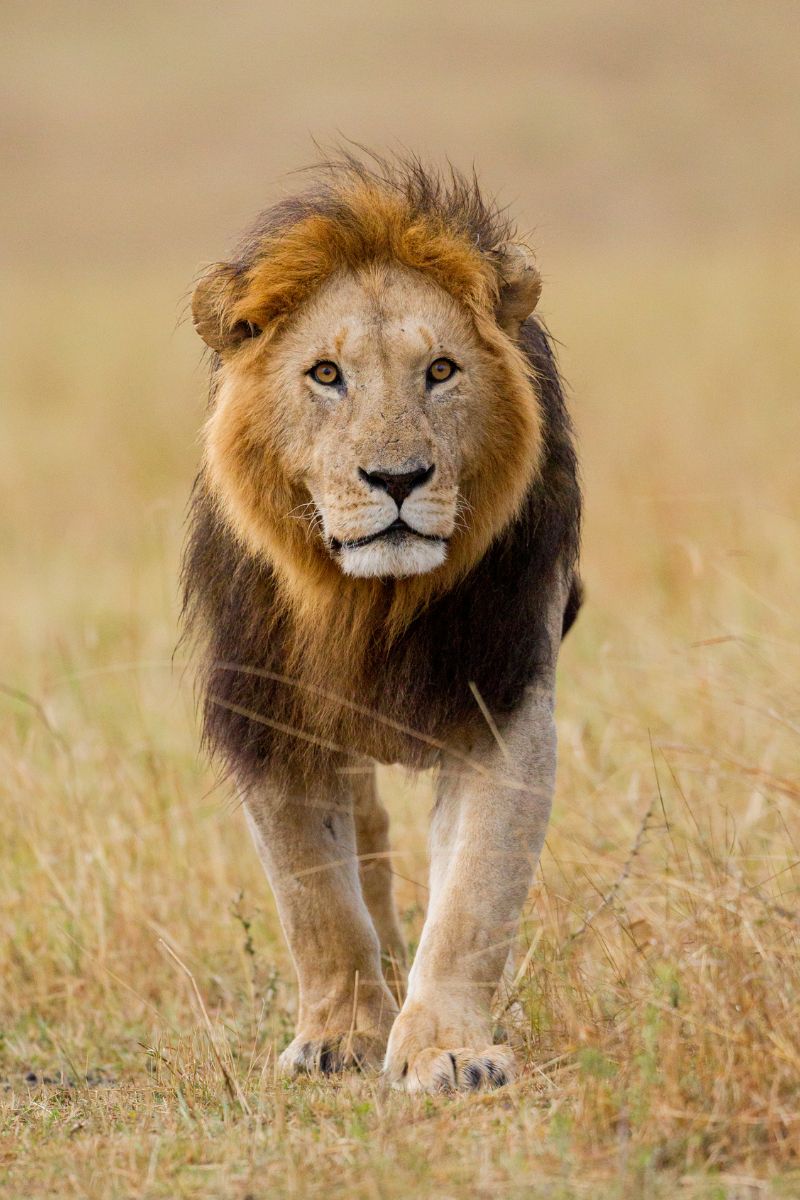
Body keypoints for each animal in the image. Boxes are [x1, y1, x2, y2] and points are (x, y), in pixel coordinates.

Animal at [182, 152, 581, 1092]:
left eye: (440, 370)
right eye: (326, 374)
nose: (396, 479)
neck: (367, 603)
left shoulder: (503, 704)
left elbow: (473, 897)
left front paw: (447, 1049)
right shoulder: (268, 716)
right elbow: (315, 900)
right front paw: (339, 1035)